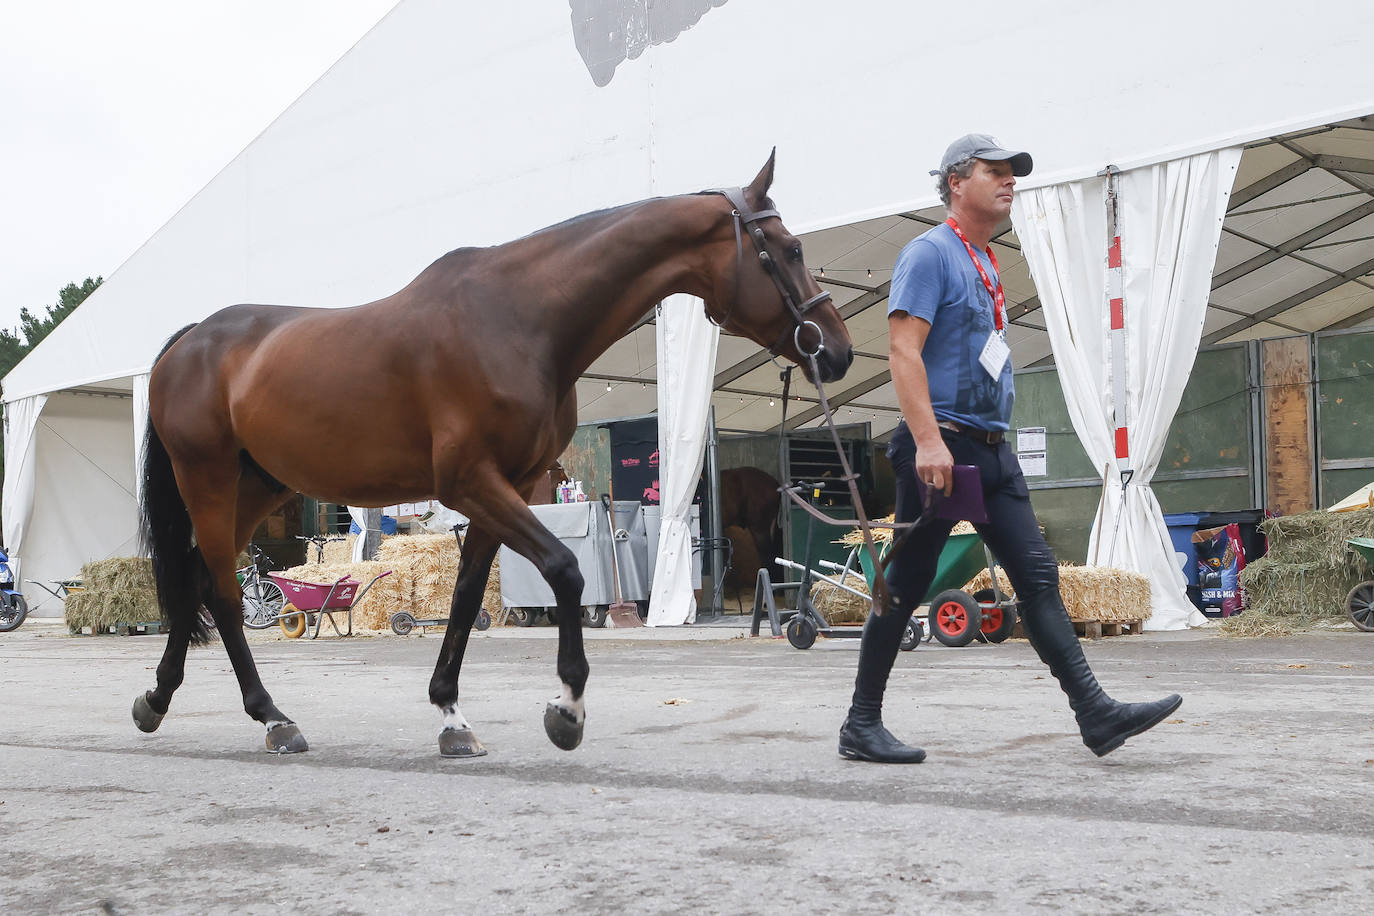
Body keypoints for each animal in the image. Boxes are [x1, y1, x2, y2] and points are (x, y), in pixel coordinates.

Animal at [133, 153, 851, 758]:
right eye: (789, 249)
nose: (836, 350)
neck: (517, 319)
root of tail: (189, 341)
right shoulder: (472, 482)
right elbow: (564, 568)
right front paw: (567, 710)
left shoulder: (505, 485)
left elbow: (466, 597)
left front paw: (451, 718)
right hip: (209, 480)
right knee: (226, 593)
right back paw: (272, 718)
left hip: (260, 485)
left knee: (199, 577)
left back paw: (157, 700)